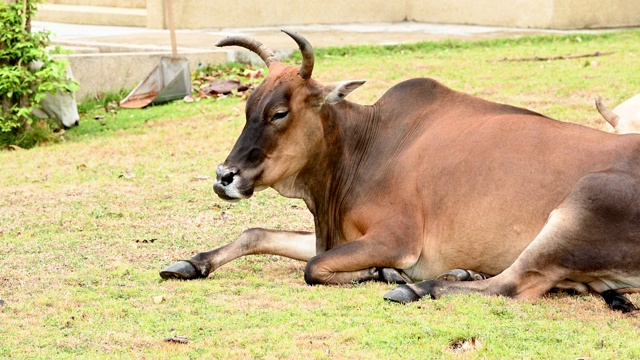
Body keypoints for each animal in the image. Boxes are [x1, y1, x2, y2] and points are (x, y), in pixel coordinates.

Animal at [161, 31, 640, 312]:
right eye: (247, 106)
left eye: (280, 112)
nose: (224, 176)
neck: (368, 145)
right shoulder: (335, 234)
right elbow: (256, 234)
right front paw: (191, 262)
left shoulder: (396, 239)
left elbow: (314, 267)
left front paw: (386, 273)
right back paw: (459, 273)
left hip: (583, 202)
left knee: (513, 285)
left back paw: (417, 287)